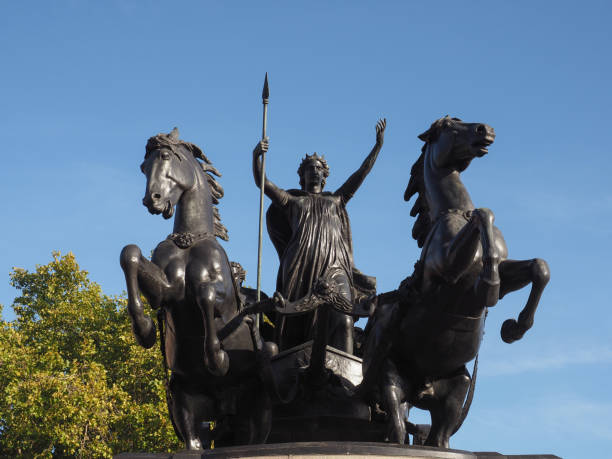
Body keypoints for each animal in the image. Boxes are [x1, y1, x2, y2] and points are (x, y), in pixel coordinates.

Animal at [119, 128, 270, 450]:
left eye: (165, 156)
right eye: (143, 167)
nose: (152, 199)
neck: (189, 240)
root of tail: (222, 408)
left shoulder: (224, 298)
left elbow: (205, 295)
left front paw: (218, 358)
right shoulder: (167, 291)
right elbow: (131, 254)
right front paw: (144, 328)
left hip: (257, 406)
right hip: (183, 400)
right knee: (194, 441)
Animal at [360, 117, 552, 450]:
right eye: (450, 125)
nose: (485, 130)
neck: (456, 212)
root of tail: (421, 388)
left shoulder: (507, 276)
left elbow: (539, 268)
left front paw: (514, 328)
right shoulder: (449, 268)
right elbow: (484, 214)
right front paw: (489, 284)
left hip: (456, 389)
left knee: (439, 438)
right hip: (390, 378)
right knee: (396, 427)